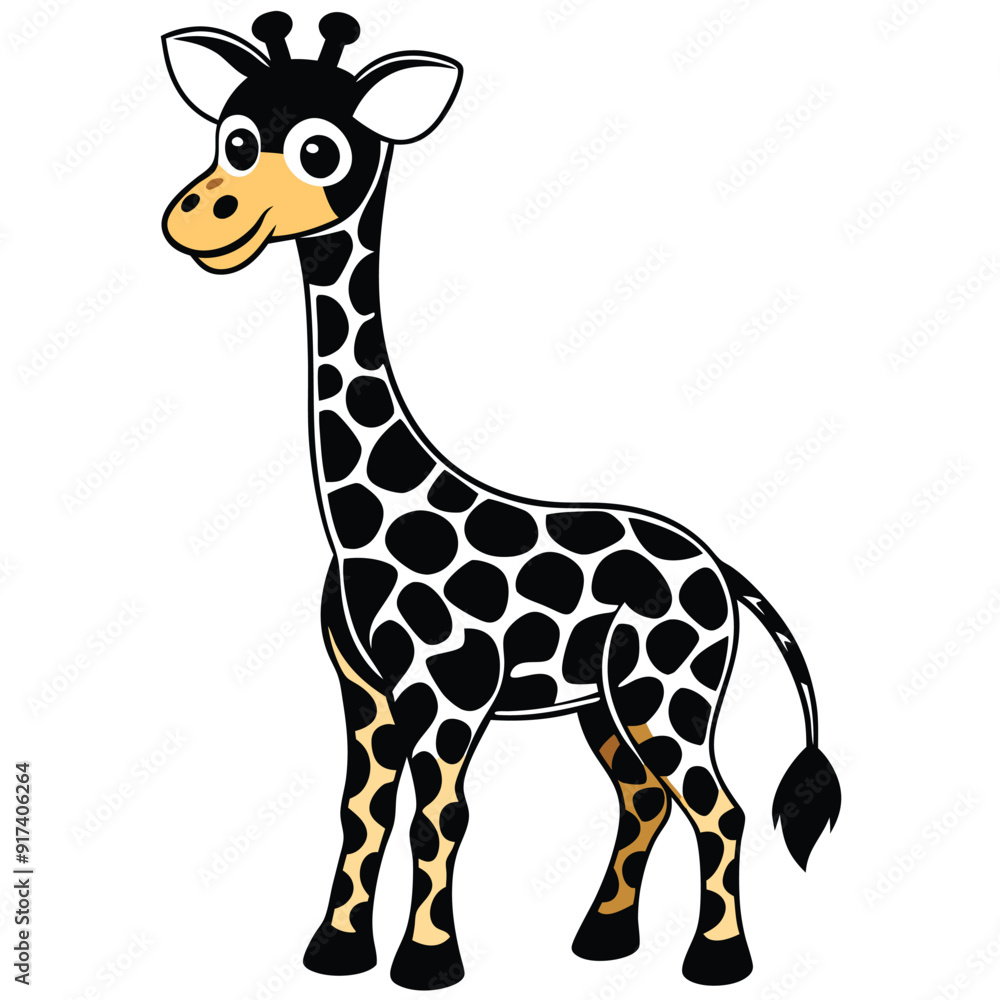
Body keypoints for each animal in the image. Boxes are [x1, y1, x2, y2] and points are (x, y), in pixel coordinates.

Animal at [161, 12, 842, 990]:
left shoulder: (449, 693)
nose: (196, 214)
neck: (365, 518)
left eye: (321, 148)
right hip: (606, 702)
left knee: (719, 806)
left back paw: (715, 962)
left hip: (668, 689)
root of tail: (721, 570)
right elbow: (361, 815)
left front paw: (427, 963)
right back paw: (602, 940)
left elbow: (439, 817)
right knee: (644, 799)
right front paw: (336, 951)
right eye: (234, 138)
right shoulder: (366, 693)